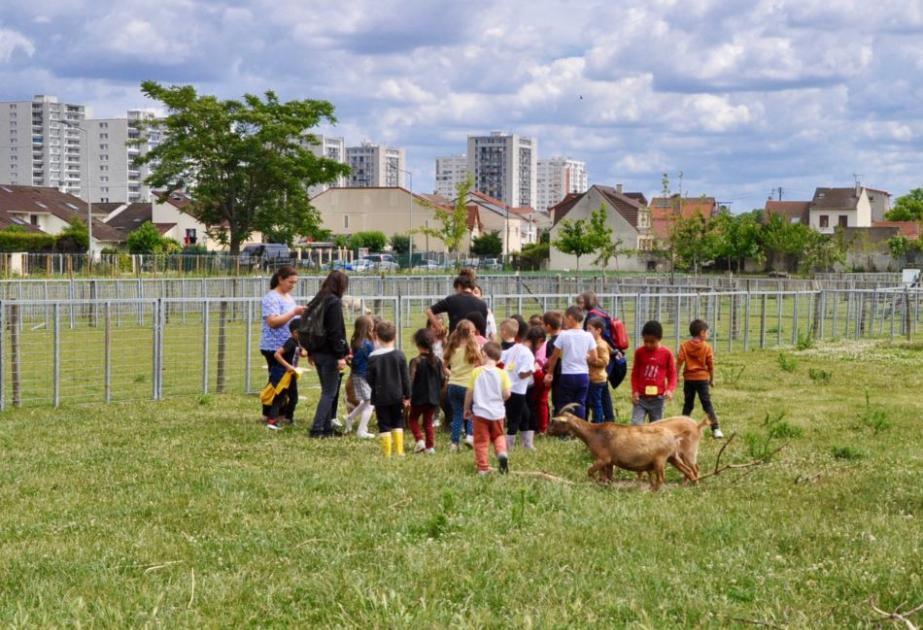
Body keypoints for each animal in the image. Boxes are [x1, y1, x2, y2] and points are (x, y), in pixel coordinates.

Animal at [548, 410, 692, 494]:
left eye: (554, 422)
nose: (547, 432)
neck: (594, 433)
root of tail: (674, 436)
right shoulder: (609, 462)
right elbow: (607, 476)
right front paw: (605, 485)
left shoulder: (603, 458)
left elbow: (590, 471)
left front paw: (597, 482)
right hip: (673, 457)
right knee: (688, 471)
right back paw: (690, 486)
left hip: (660, 460)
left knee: (661, 479)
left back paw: (653, 491)